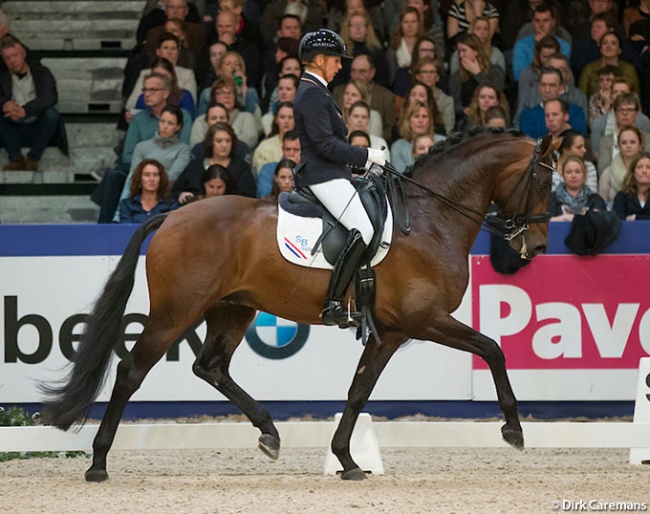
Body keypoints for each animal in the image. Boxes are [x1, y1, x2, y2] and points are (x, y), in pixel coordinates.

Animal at [43, 128, 556, 480]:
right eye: (543, 184)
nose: (536, 246)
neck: (431, 218)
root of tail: (170, 215)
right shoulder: (425, 319)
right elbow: (492, 348)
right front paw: (514, 430)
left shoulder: (391, 332)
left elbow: (358, 391)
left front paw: (347, 459)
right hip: (176, 313)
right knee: (132, 370)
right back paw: (98, 463)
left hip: (232, 309)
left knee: (210, 367)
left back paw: (269, 432)